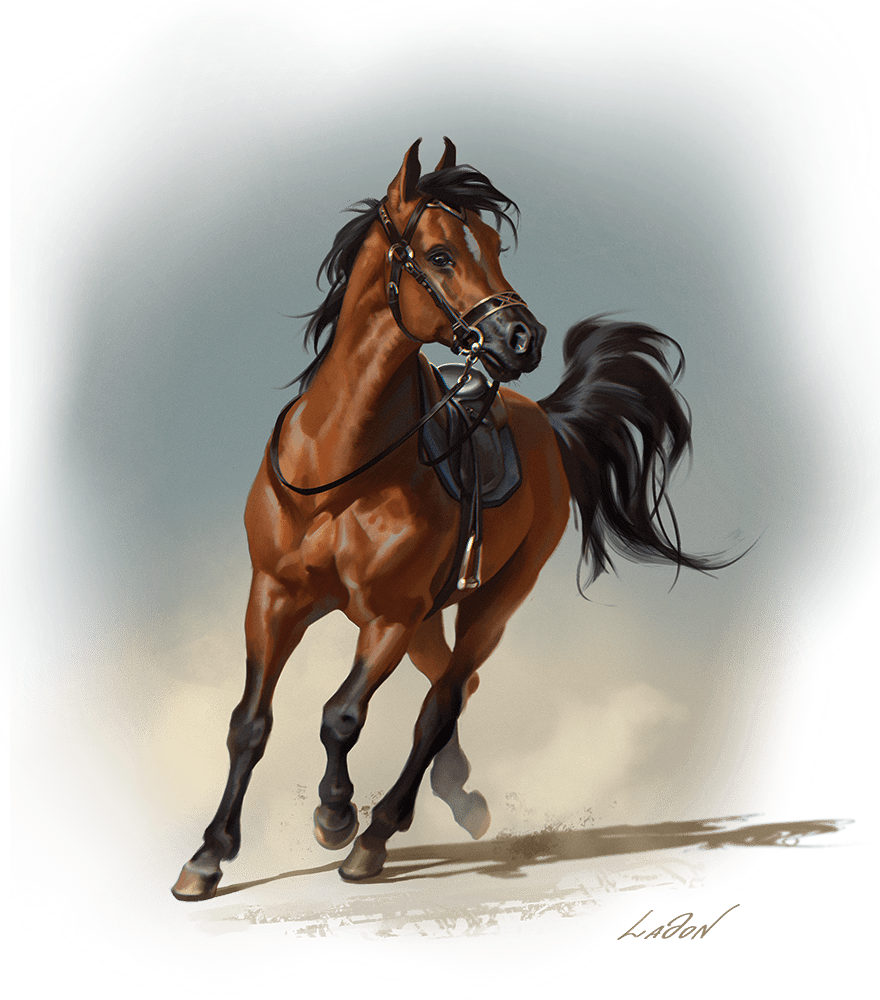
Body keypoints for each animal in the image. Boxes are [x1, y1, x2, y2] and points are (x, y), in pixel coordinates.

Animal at [171, 138, 738, 901]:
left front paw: (336, 816)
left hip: (489, 604)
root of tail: (547, 420)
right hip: (427, 620)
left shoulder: (388, 616)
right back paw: (458, 796)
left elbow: (341, 716)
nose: (524, 338)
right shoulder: (274, 598)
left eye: (494, 245)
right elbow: (249, 724)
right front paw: (208, 856)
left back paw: (378, 835)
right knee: (452, 686)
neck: (341, 466)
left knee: (441, 703)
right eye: (440, 254)